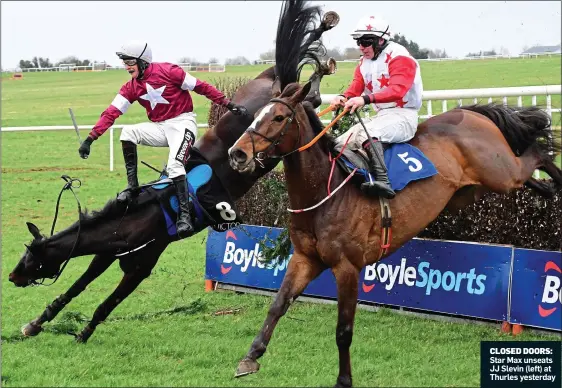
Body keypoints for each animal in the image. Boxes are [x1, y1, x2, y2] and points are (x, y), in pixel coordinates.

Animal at [225, 77, 556, 386]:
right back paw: (549, 190)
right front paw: (250, 356)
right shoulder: (306, 258)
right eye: (257, 114)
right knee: (535, 173)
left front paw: (344, 379)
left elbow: (343, 330)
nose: (237, 153)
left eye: (279, 117)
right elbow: (277, 305)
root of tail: (470, 113)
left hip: (502, 173)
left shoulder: (347, 267)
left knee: (537, 153)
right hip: (482, 186)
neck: (327, 192)